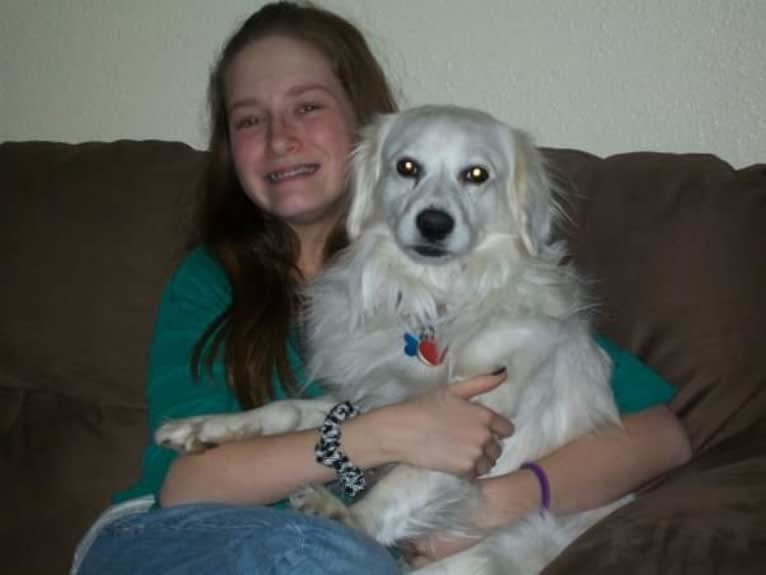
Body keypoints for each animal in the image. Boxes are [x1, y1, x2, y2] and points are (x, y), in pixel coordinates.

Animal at [156, 106, 632, 572]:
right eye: (407, 167)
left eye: (476, 175)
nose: (434, 223)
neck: (437, 300)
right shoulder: (377, 399)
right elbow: (286, 411)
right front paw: (208, 427)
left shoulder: (485, 423)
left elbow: (407, 477)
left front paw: (349, 516)